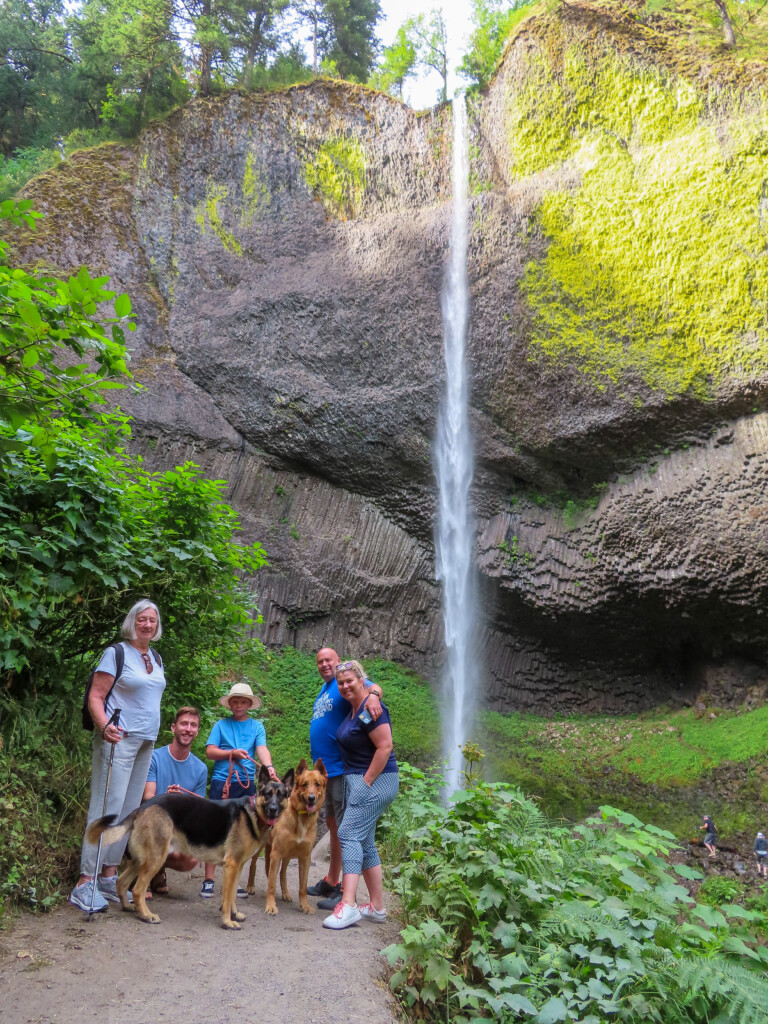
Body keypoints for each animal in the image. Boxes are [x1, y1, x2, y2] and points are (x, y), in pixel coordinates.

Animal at [85, 770, 292, 929]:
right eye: (268, 794)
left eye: (281, 795)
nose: (273, 809)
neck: (254, 812)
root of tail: (144, 806)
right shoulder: (231, 866)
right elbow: (226, 898)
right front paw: (227, 922)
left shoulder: (238, 867)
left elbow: (232, 894)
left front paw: (234, 915)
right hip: (155, 859)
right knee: (137, 889)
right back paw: (146, 915)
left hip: (142, 860)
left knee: (121, 882)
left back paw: (128, 907)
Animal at [266, 757, 325, 917]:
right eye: (304, 784)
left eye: (317, 784)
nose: (311, 798)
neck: (301, 819)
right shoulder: (276, 854)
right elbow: (271, 884)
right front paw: (270, 905)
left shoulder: (305, 857)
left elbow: (302, 887)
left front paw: (305, 906)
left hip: (286, 855)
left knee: (282, 873)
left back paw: (285, 893)